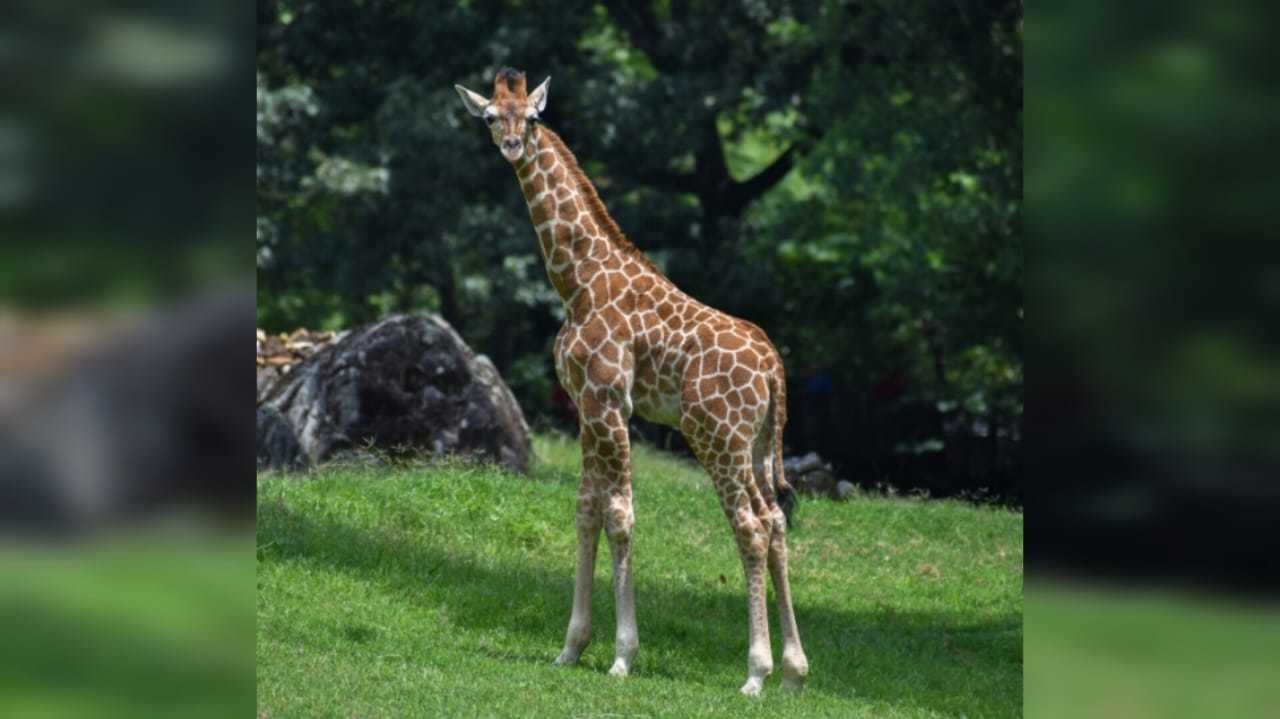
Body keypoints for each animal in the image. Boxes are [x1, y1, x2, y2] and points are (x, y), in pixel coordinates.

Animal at [455, 68, 803, 695]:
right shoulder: (584, 405)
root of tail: (773, 367)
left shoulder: (609, 400)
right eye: (492, 116)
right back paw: (793, 671)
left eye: (534, 117)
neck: (578, 281)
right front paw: (570, 647)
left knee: (750, 526)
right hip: (760, 443)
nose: (513, 145)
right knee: (777, 520)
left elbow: (619, 514)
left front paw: (622, 655)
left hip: (716, 435)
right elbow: (586, 508)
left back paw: (755, 673)